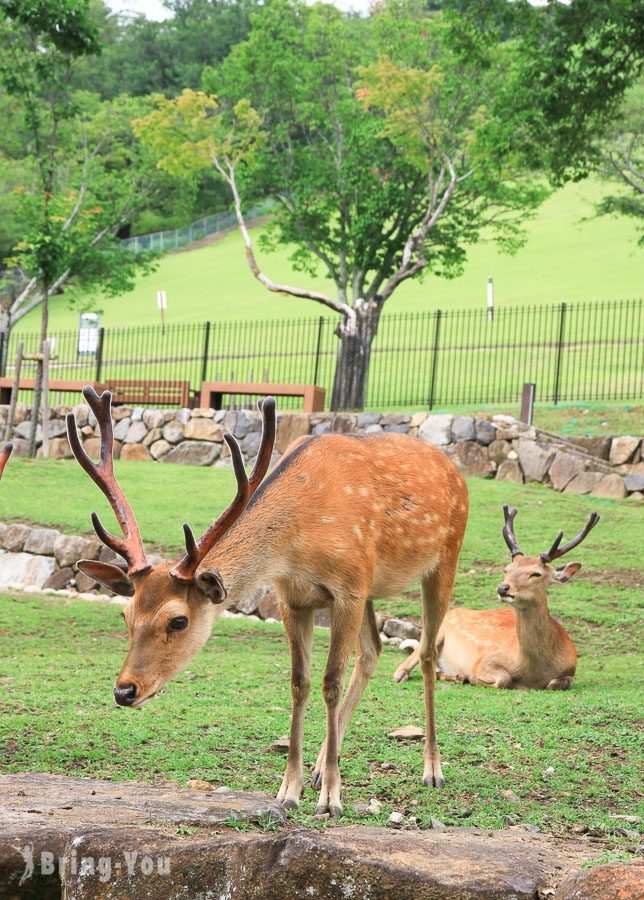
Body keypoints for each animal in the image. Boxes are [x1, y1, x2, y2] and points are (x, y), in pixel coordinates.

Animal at [65, 386, 468, 816]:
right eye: (126, 616)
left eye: (178, 620)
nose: (124, 691)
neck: (298, 542)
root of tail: (457, 471)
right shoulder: (293, 597)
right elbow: (299, 682)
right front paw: (289, 789)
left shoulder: (348, 588)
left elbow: (330, 682)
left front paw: (331, 799)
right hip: (373, 589)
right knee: (373, 650)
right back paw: (320, 767)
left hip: (444, 558)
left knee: (426, 652)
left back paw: (432, 770)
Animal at [392, 506, 600, 688]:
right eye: (507, 569)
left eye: (536, 574)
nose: (503, 588)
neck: (533, 672)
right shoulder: (485, 660)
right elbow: (503, 679)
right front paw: (470, 677)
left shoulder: (570, 669)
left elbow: (557, 683)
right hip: (437, 632)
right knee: (408, 663)